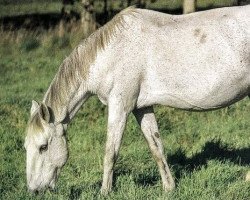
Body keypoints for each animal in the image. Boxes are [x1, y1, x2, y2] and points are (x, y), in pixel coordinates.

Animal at [24, 5, 250, 194]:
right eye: (26, 147)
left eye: (43, 147)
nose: (34, 190)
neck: (112, 52)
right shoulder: (142, 107)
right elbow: (156, 147)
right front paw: (169, 188)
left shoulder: (120, 107)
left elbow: (110, 152)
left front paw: (104, 192)